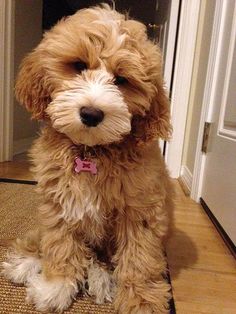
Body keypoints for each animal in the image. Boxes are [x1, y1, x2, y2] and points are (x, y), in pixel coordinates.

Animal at [1, 3, 174, 314]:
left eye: (121, 80)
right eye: (79, 66)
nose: (91, 114)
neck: (91, 151)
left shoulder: (139, 210)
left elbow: (139, 257)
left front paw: (141, 300)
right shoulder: (59, 202)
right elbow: (60, 244)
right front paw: (57, 286)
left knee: (99, 259)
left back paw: (100, 277)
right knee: (42, 239)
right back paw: (26, 262)